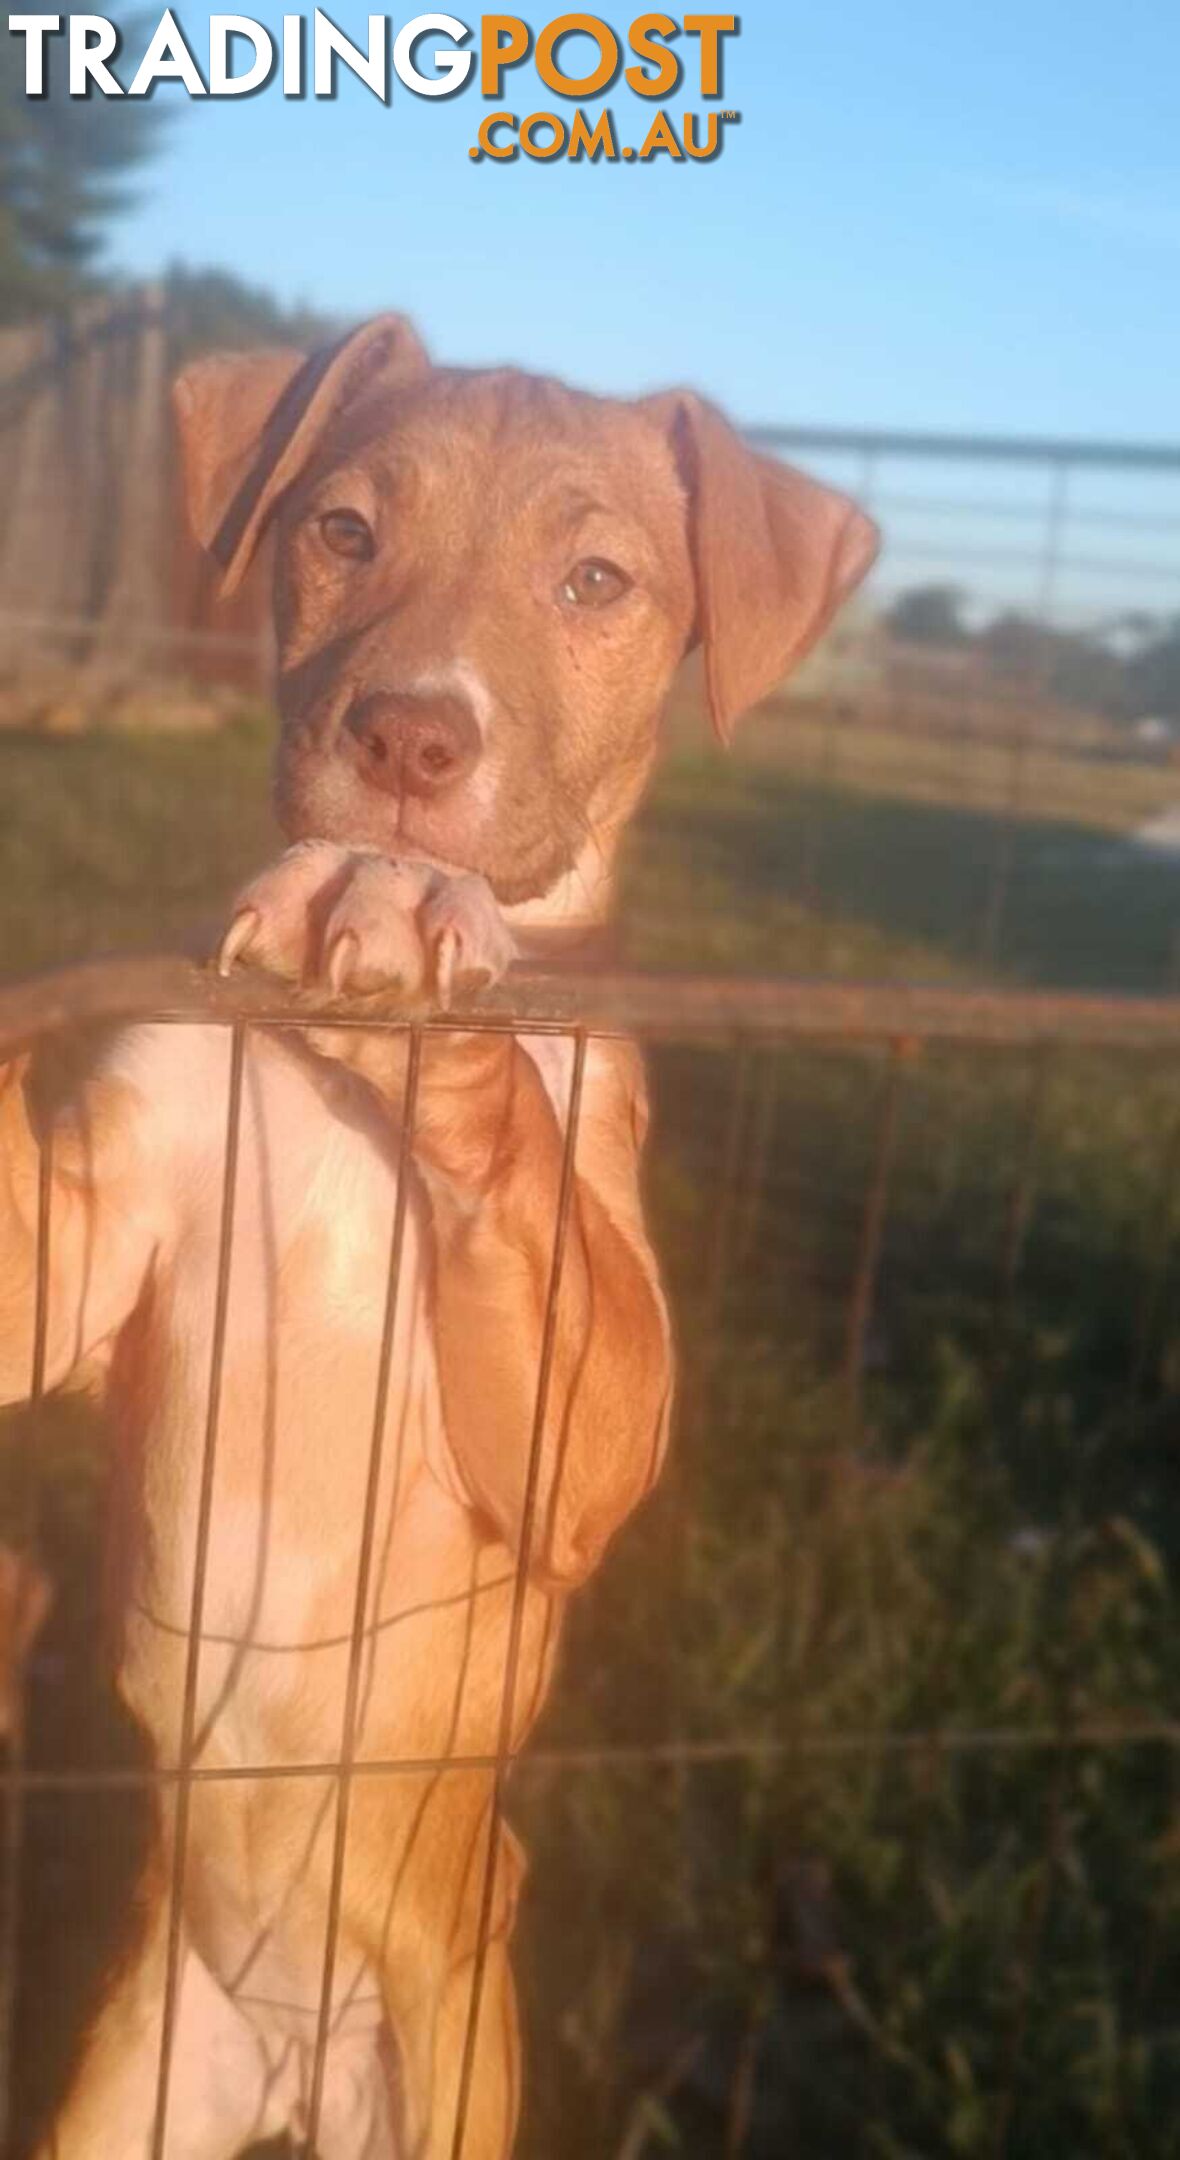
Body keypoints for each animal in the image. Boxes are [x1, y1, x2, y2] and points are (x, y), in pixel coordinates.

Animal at [0, 313, 873, 2151]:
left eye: (598, 579)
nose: (408, 742)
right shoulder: (67, 1261)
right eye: (341, 530)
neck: (336, 1076)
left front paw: (414, 923)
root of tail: (288, 2044)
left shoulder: (594, 1446)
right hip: (127, 2085)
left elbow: (534, 1185)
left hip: (454, 2062)